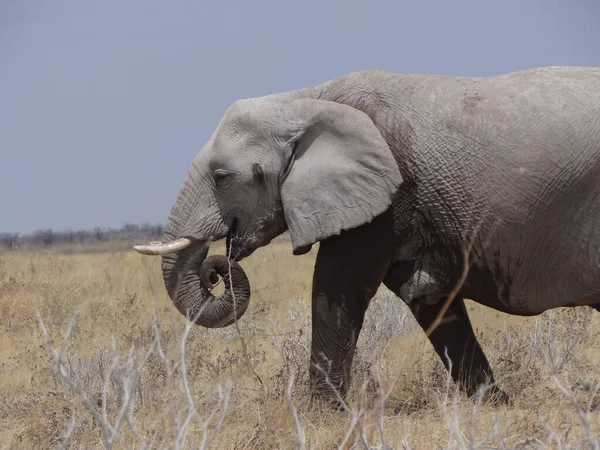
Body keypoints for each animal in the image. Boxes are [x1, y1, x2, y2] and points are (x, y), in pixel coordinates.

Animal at [136, 66, 600, 408]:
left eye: (221, 177)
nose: (218, 267)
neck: (304, 99)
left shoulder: (389, 195)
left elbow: (337, 283)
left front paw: (322, 416)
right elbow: (431, 299)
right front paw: (494, 406)